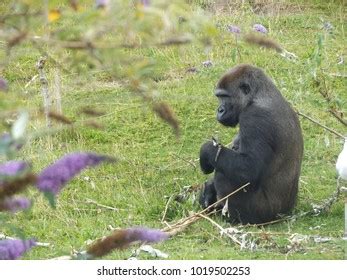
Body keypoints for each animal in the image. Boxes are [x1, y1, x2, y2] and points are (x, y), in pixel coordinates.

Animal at [200, 64, 304, 224]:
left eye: (225, 96)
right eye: (219, 97)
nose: (220, 110)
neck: (258, 96)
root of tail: (286, 212)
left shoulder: (254, 117)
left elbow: (248, 169)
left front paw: (207, 151)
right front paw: (209, 190)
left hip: (264, 214)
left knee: (224, 174)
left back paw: (233, 218)